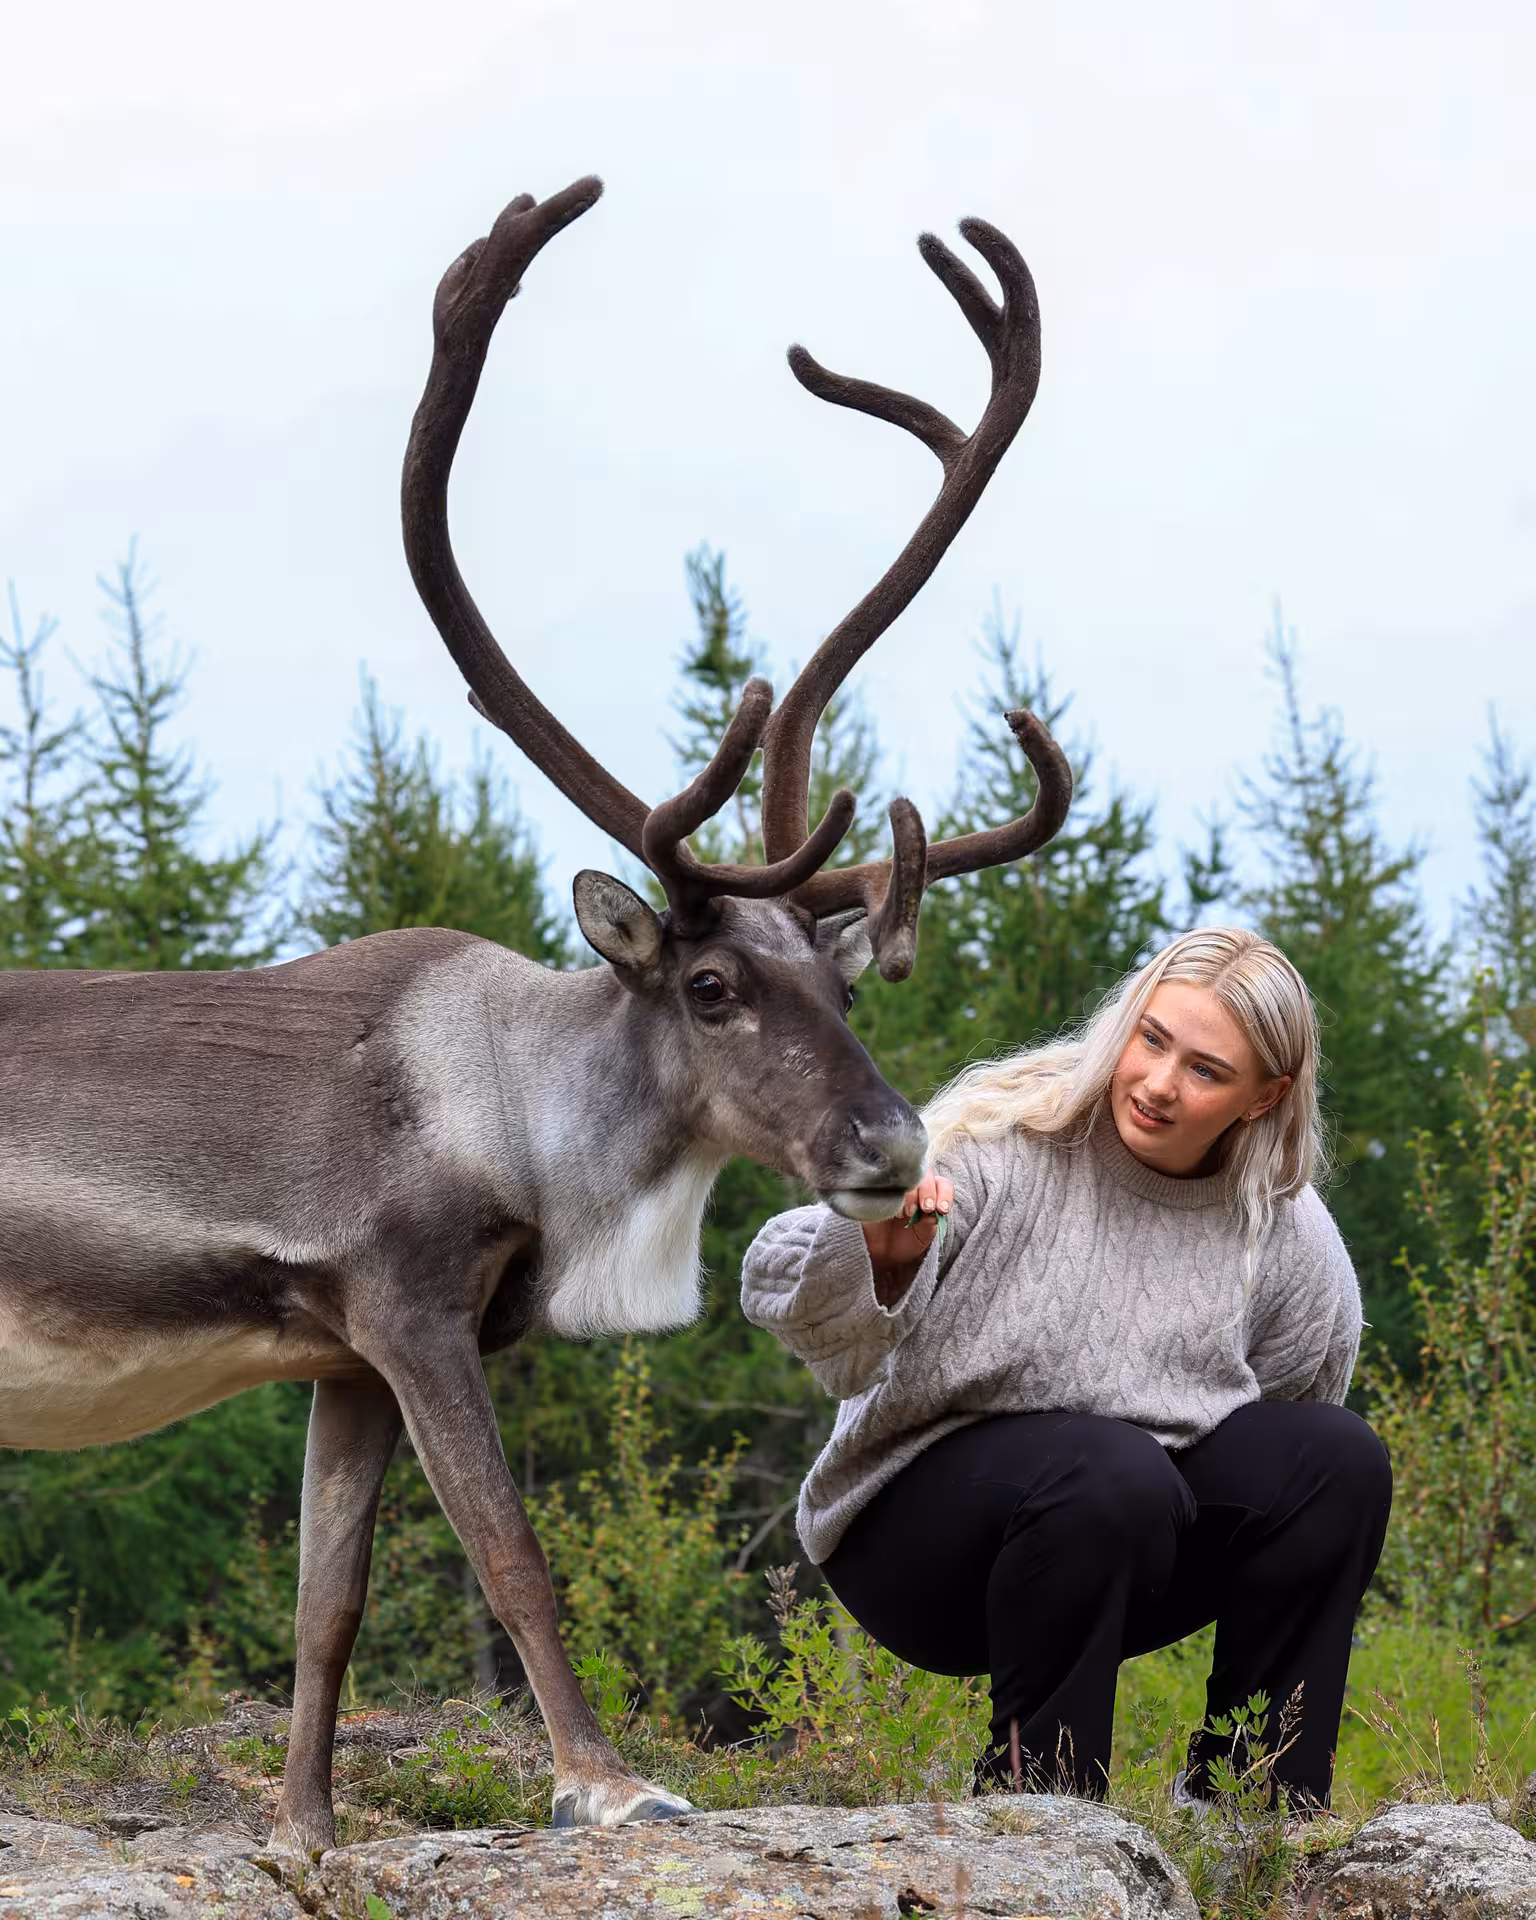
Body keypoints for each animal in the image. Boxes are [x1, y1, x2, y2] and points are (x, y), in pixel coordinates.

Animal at [0, 174, 1070, 1853]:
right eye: (710, 985)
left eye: (842, 979)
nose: (893, 1144)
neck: (524, 1129)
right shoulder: (407, 1303)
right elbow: (511, 1556)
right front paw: (609, 1782)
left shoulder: (339, 1357)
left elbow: (328, 1603)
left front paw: (305, 1831)